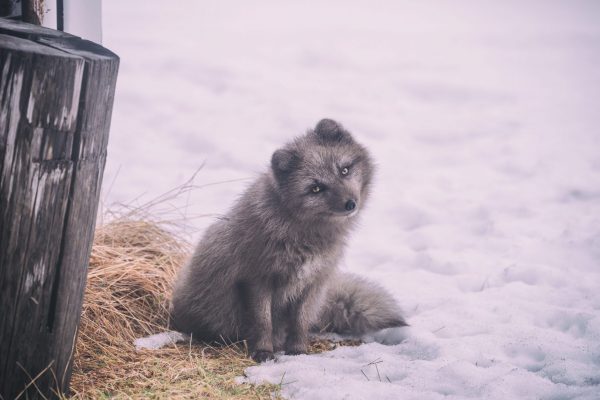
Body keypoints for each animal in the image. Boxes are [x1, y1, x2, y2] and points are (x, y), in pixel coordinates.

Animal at [173, 119, 408, 362]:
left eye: (344, 170)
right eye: (316, 188)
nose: (351, 204)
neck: (304, 236)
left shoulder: (312, 282)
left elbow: (300, 322)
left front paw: (298, 351)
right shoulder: (257, 279)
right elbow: (263, 322)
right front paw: (263, 352)